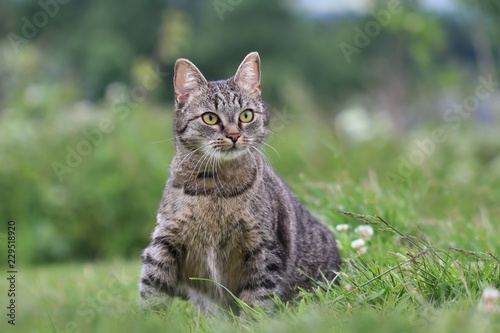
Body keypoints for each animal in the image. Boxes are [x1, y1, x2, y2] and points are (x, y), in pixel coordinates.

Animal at [139, 51, 342, 312]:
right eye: (210, 118)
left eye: (246, 115)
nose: (234, 135)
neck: (216, 186)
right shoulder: (165, 241)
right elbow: (151, 290)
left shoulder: (264, 250)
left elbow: (257, 301)